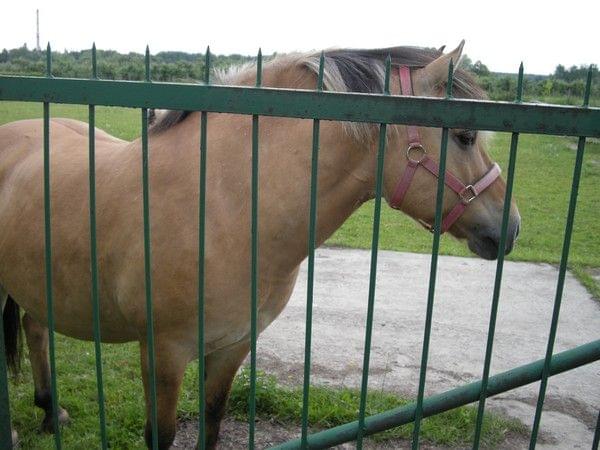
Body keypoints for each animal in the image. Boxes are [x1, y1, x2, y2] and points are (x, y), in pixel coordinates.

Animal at [0, 41, 520, 449]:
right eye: (465, 135)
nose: (510, 227)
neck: (225, 205)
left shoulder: (234, 346)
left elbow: (211, 424)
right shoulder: (163, 351)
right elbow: (161, 435)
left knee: (34, 326)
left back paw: (50, 411)